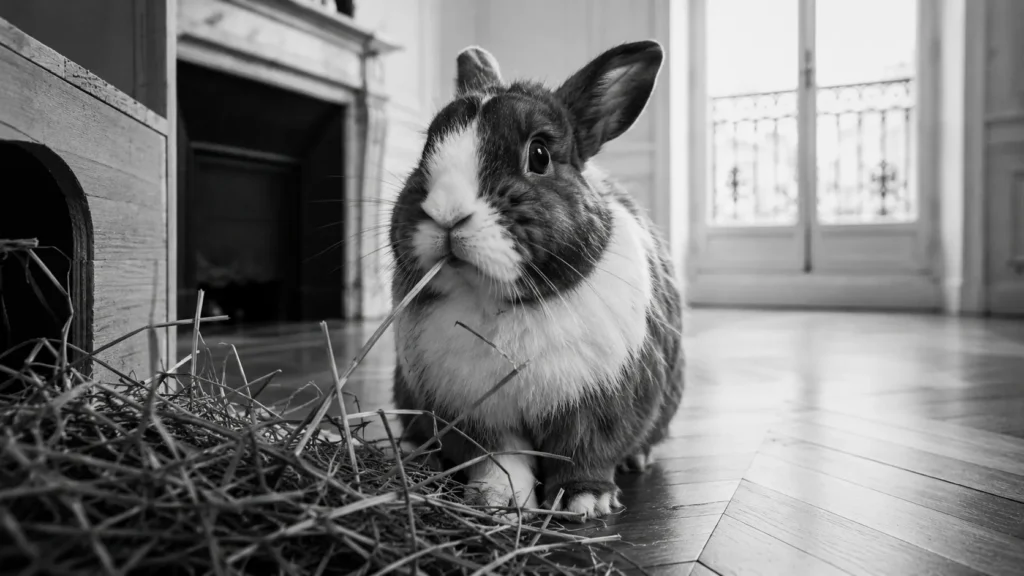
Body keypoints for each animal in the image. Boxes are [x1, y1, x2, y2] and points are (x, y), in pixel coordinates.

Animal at [387, 40, 684, 522]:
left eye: (539, 154)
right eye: (426, 148)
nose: (446, 213)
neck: (497, 304)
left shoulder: (598, 408)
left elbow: (584, 453)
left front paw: (585, 502)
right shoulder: (478, 417)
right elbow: (498, 460)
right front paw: (497, 501)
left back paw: (638, 459)